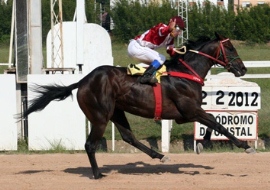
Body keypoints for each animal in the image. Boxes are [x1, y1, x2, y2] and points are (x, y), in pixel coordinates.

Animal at [21, 33, 255, 180]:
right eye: (230, 47)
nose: (243, 69)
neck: (186, 73)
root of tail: (83, 81)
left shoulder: (188, 113)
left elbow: (214, 122)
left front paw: (203, 143)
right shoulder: (188, 111)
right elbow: (217, 123)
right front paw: (245, 145)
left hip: (116, 112)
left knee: (129, 137)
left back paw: (160, 156)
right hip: (100, 116)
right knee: (90, 145)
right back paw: (97, 175)